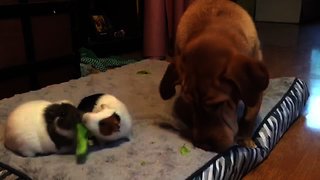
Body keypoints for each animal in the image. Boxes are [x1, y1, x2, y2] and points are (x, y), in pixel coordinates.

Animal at [159, 0, 268, 153]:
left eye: (218, 104)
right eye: (191, 104)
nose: (204, 146)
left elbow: (249, 117)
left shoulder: (255, 92)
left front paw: (245, 139)